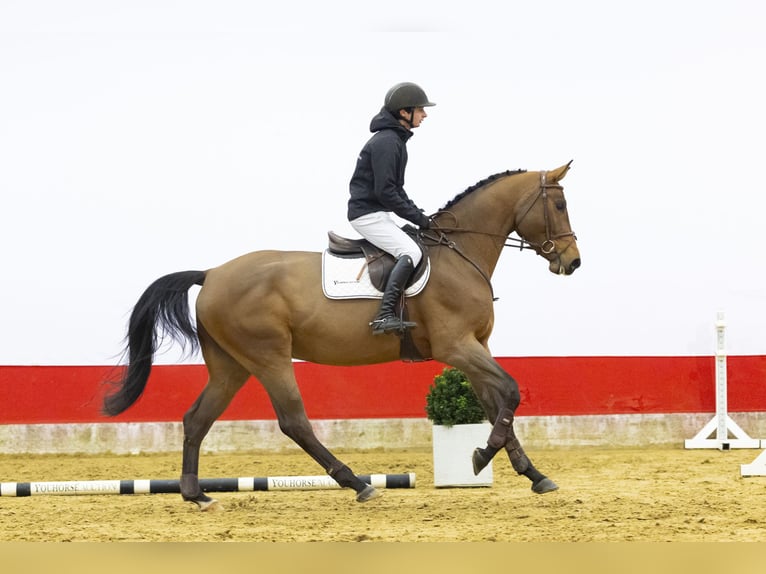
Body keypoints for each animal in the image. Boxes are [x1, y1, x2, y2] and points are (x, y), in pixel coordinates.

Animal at [102, 161, 581, 511]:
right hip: (269, 357)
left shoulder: (477, 347)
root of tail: (212, 273)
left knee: (197, 418)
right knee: (294, 421)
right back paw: (357, 483)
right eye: (559, 205)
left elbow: (497, 403)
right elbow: (511, 391)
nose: (572, 261)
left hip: (231, 367)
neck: (459, 254)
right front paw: (482, 457)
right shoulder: (456, 347)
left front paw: (533, 475)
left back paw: (196, 494)